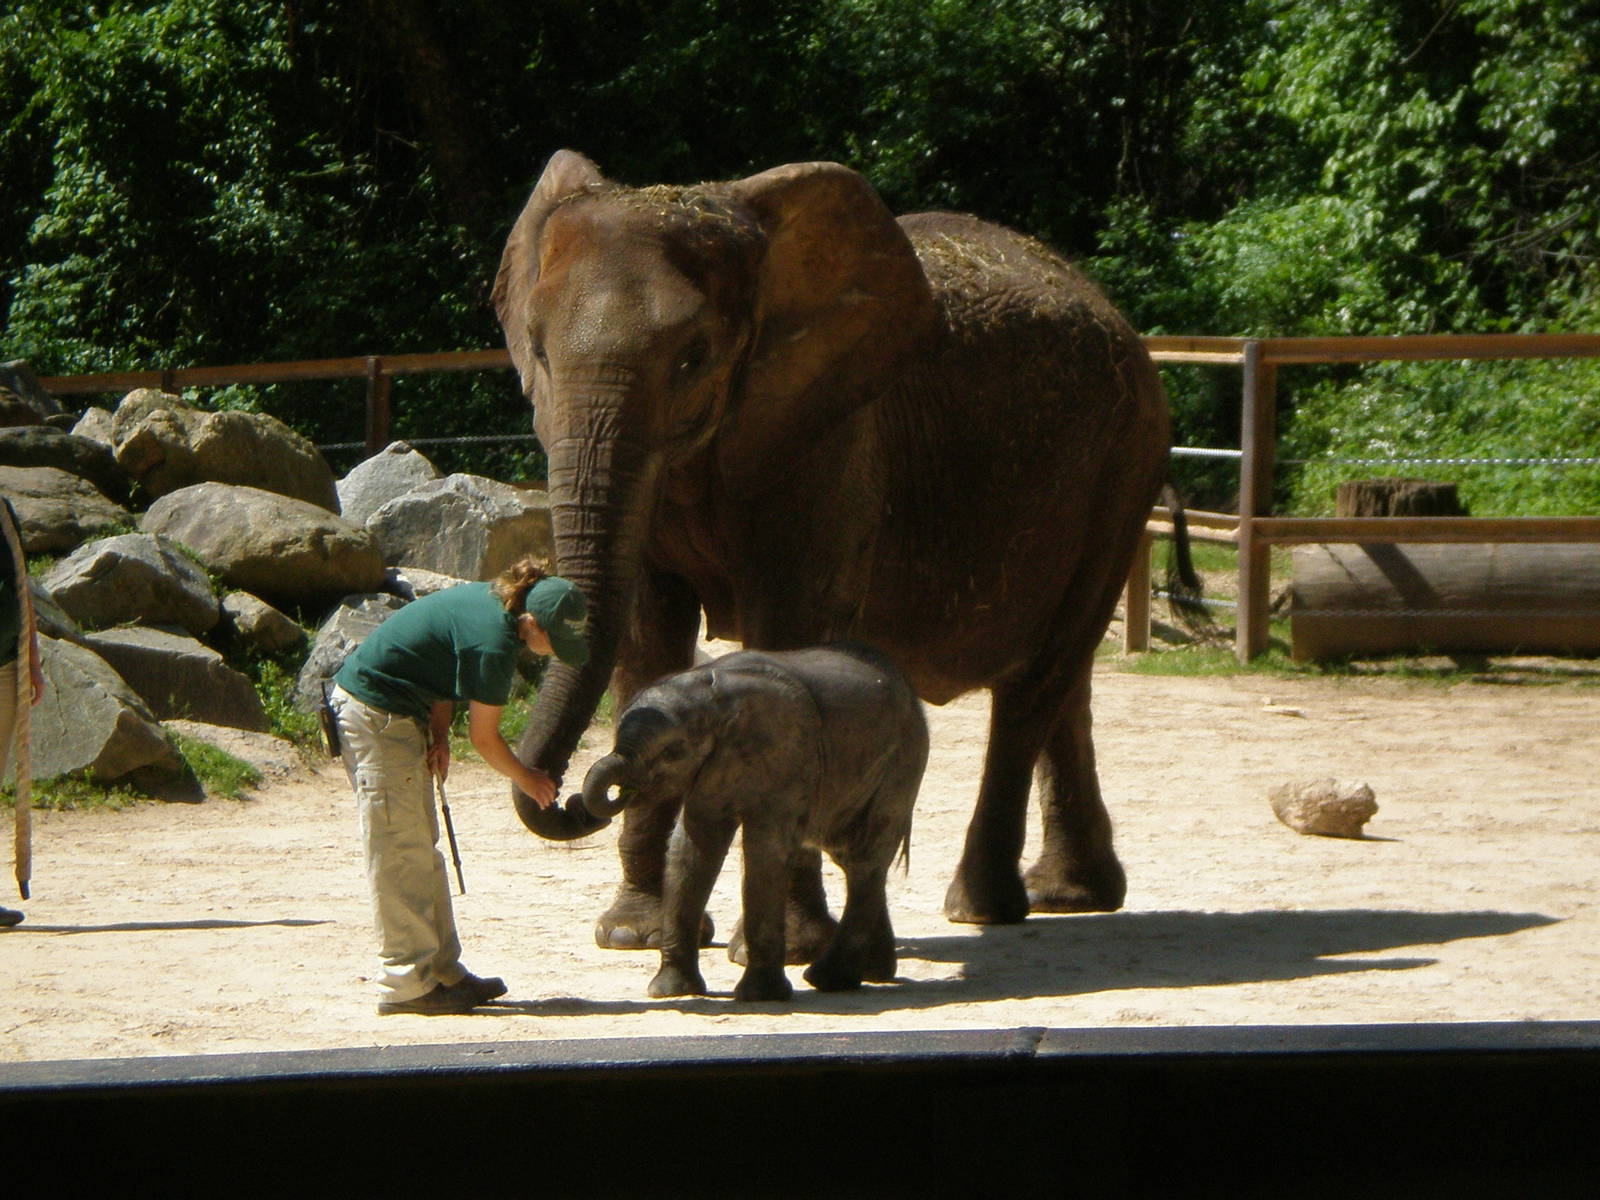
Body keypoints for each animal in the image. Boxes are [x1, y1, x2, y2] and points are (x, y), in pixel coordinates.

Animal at [494, 149, 1172, 954]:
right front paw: (635, 935)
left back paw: (983, 907)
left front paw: (787, 947)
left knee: (1038, 679)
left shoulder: (835, 436)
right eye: (537, 349)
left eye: (694, 358)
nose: (574, 793)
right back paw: (1070, 895)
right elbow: (646, 640)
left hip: (1126, 468)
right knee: (1065, 679)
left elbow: (788, 631)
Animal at [580, 643, 929, 1001]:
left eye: (671, 751)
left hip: (901, 764)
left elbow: (765, 850)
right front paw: (669, 993)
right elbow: (691, 850)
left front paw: (759, 996)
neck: (711, 694)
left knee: (865, 857)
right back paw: (872, 974)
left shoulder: (786, 757)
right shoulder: (713, 768)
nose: (623, 791)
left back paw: (828, 980)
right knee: (853, 858)